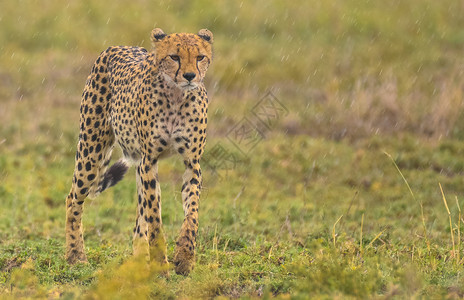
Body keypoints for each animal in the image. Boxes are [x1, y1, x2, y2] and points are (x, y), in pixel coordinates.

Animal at [65, 28, 214, 274]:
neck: (176, 96)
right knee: (73, 199)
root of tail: (116, 47)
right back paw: (75, 255)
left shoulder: (192, 163)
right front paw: (161, 264)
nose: (190, 76)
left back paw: (138, 263)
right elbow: (154, 216)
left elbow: (191, 213)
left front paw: (184, 257)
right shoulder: (149, 161)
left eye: (200, 57)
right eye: (175, 57)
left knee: (138, 219)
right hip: (91, 149)